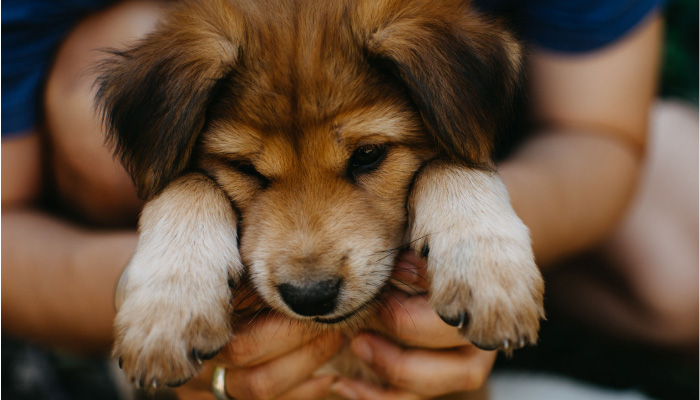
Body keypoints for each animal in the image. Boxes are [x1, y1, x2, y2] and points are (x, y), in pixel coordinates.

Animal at [97, 0, 548, 394]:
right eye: (244, 168)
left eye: (368, 154)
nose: (310, 296)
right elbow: (186, 184)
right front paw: (167, 309)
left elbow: (452, 162)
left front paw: (490, 271)